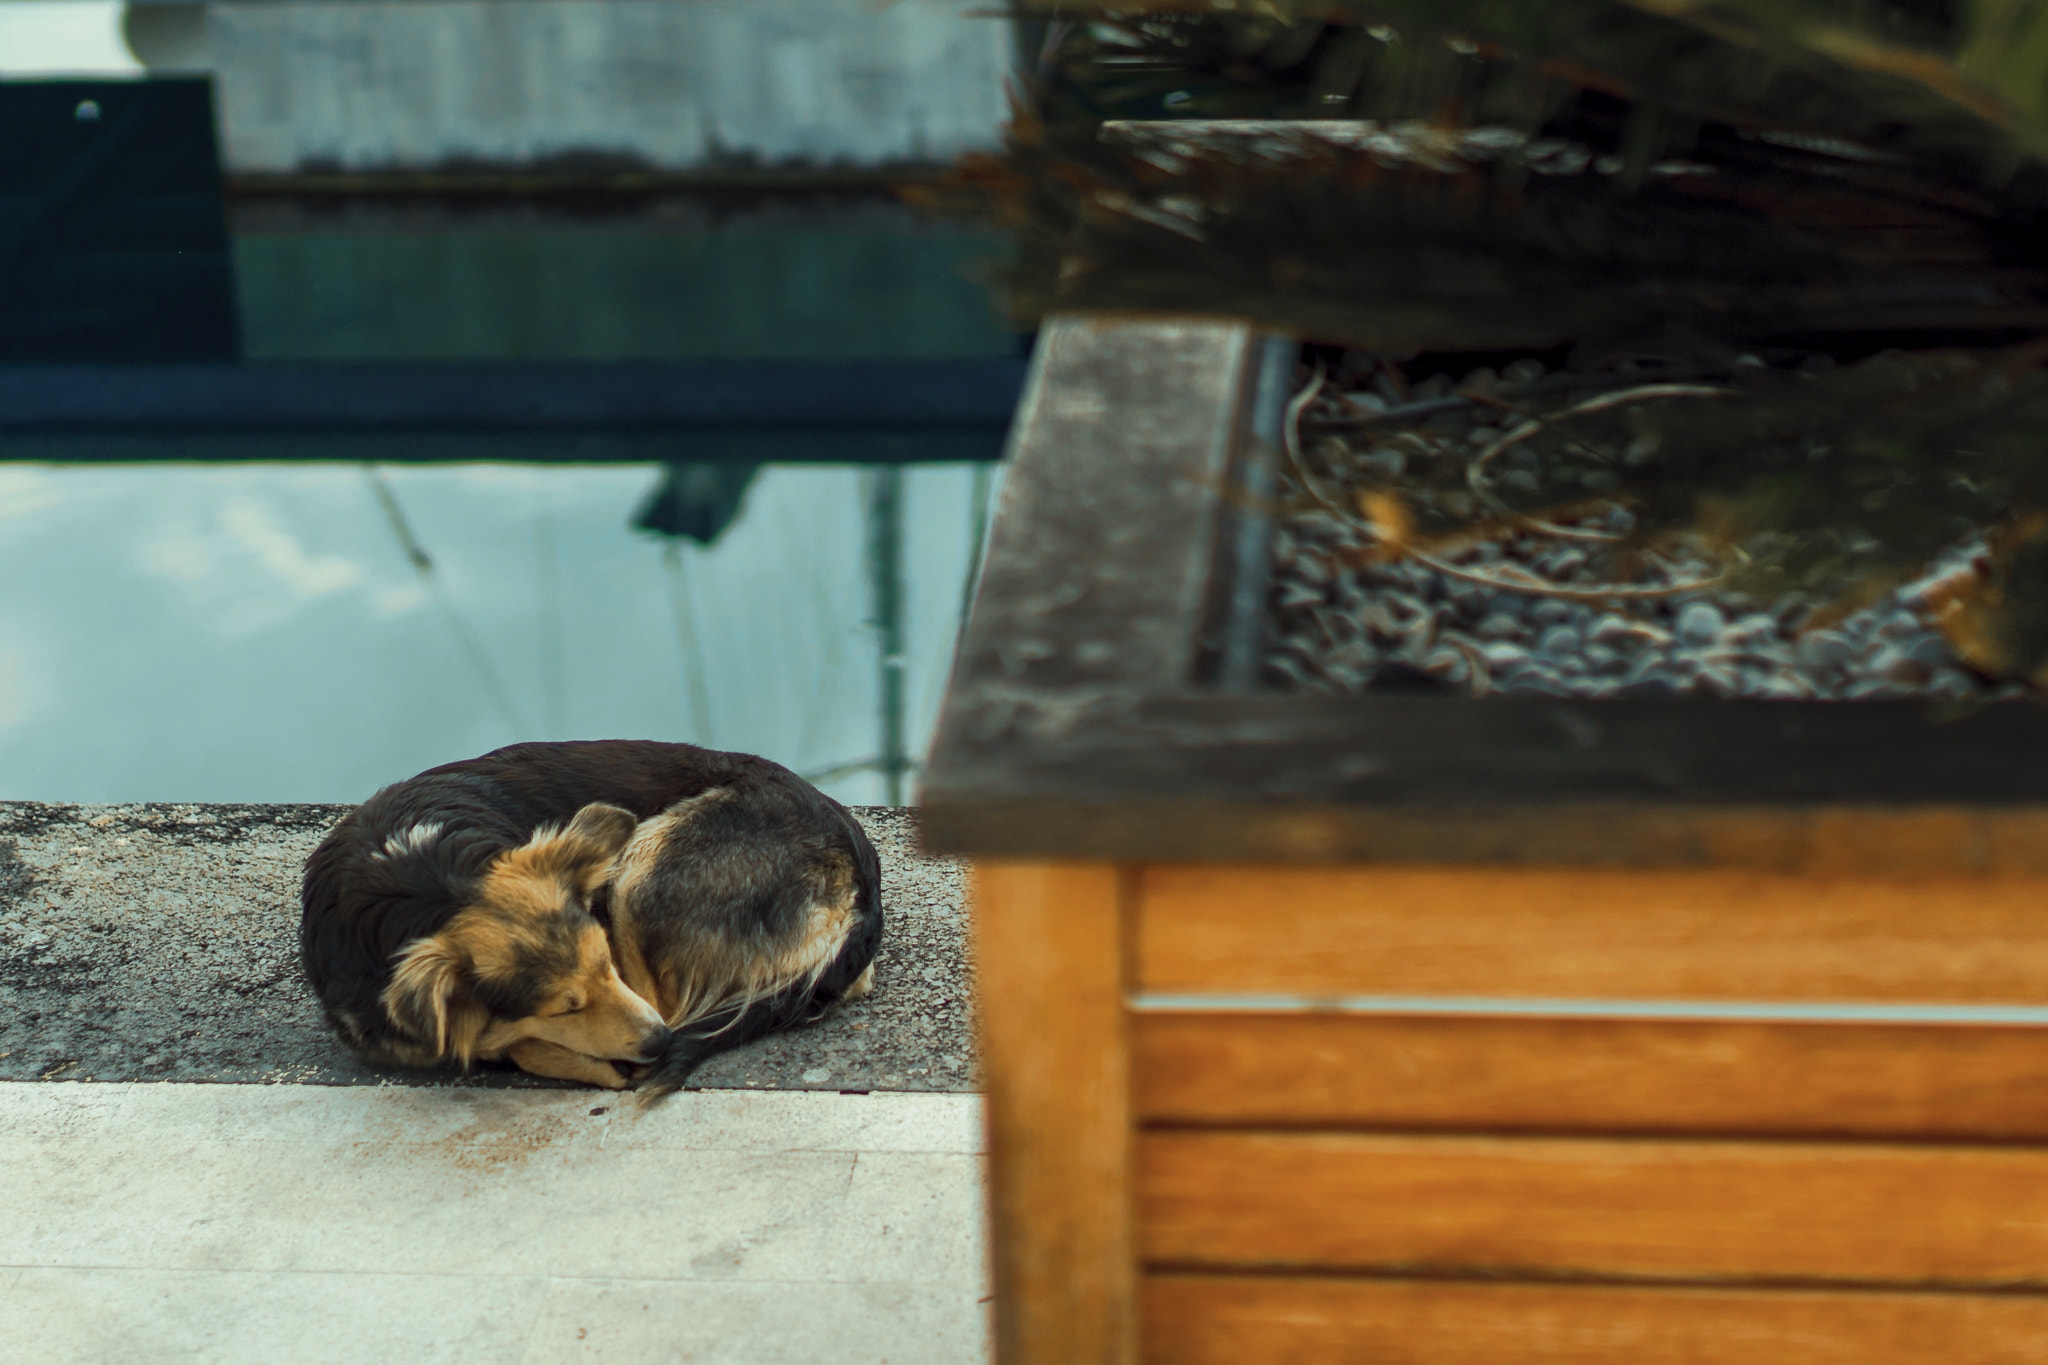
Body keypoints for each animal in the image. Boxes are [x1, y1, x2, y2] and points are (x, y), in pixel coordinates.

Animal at [299, 740, 880, 1096]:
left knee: (668, 1002)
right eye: (563, 1008)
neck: (417, 880)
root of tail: (861, 879)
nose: (657, 1046)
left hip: (640, 872)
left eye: (608, 968)